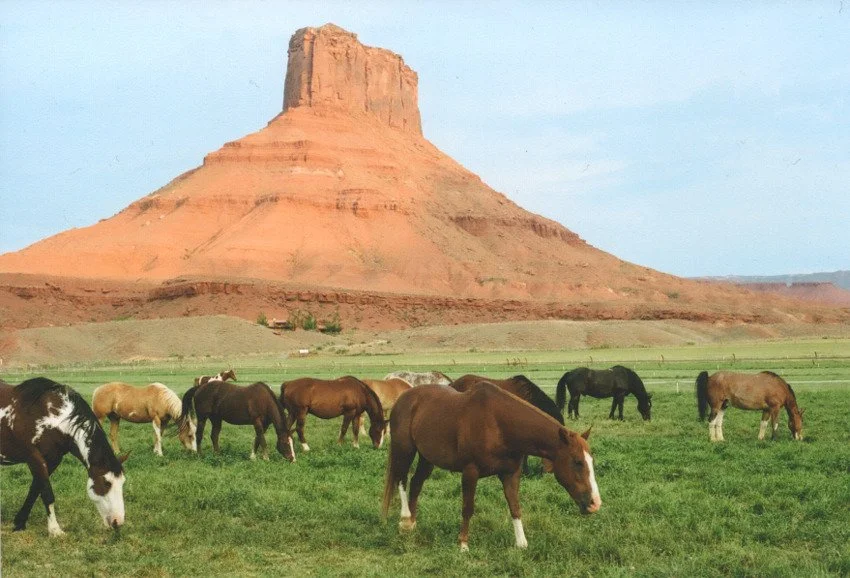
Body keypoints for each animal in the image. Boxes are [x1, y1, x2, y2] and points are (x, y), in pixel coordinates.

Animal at [0, 377, 128, 536]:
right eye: (106, 483)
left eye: (122, 482)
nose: (118, 521)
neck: (51, 417)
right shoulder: (34, 457)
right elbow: (47, 493)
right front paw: (55, 530)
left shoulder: (53, 460)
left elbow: (35, 489)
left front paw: (19, 523)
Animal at [381, 383, 601, 551]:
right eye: (577, 462)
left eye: (591, 461)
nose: (595, 503)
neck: (499, 424)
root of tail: (404, 398)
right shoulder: (470, 472)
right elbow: (468, 508)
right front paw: (463, 544)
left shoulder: (511, 474)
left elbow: (515, 506)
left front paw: (521, 543)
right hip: (404, 450)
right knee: (401, 479)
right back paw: (404, 520)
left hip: (428, 457)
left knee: (416, 483)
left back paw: (412, 523)